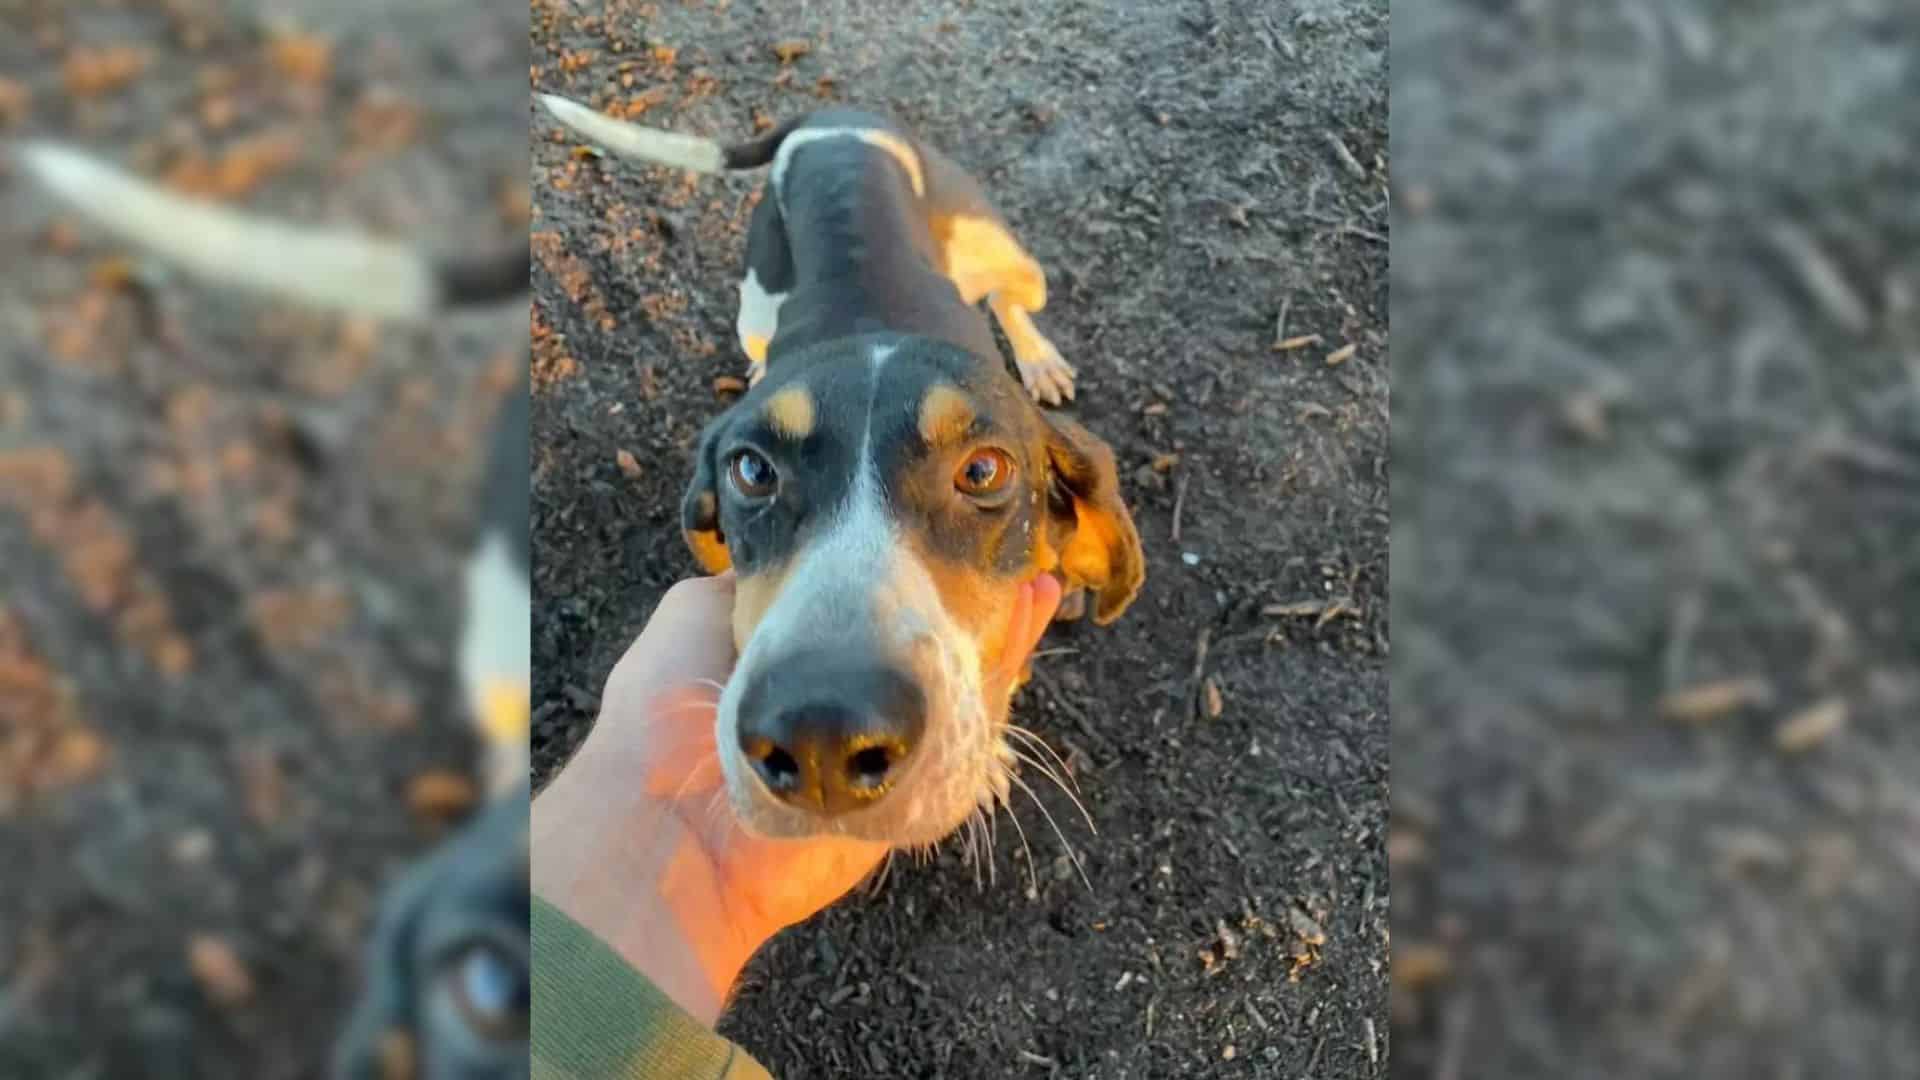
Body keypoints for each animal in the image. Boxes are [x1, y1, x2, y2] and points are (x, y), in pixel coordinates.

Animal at [533, 94, 1144, 849]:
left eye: (983, 471)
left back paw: (1039, 360)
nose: (819, 732)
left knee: (1011, 299)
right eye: (751, 470)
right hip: (755, 299)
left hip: (1007, 254)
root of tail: (828, 115)